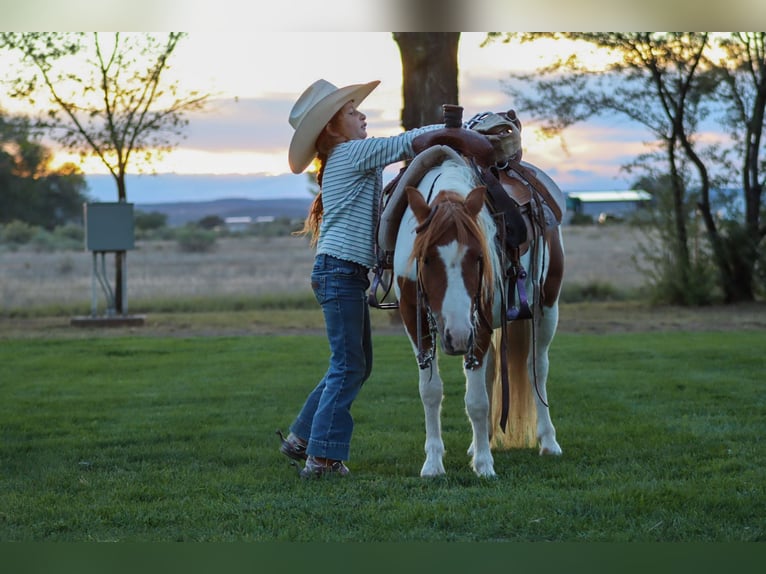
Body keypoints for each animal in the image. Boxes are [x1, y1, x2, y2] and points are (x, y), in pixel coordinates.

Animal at [387, 115, 565, 477]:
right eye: (426, 259)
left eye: (479, 257)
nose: (456, 336)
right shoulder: (415, 319)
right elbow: (431, 391)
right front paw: (433, 463)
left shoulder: (478, 319)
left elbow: (477, 400)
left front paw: (483, 464)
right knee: (492, 369)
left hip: (546, 307)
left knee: (537, 368)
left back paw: (548, 441)